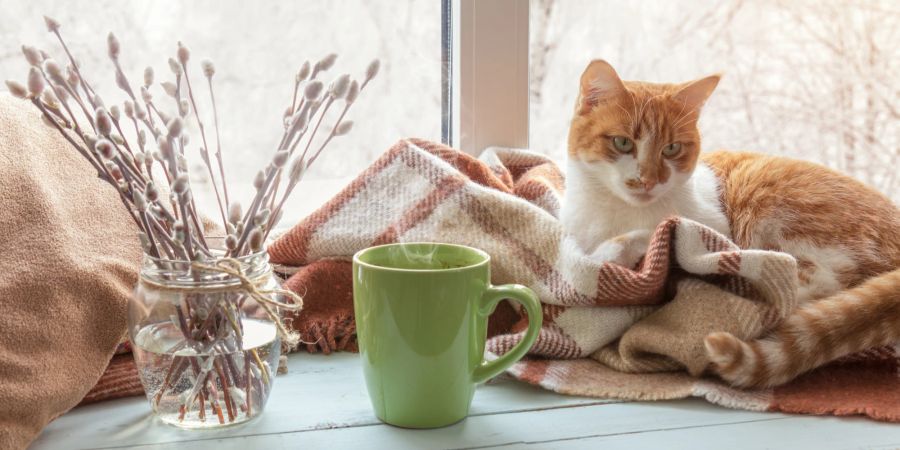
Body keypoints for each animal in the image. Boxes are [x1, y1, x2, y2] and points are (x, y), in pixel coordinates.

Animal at [564, 59, 900, 388]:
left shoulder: (706, 226)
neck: (618, 210)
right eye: (622, 143)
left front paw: (608, 256)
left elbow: (641, 235)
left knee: (813, 285)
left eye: (671, 148)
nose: (648, 180)